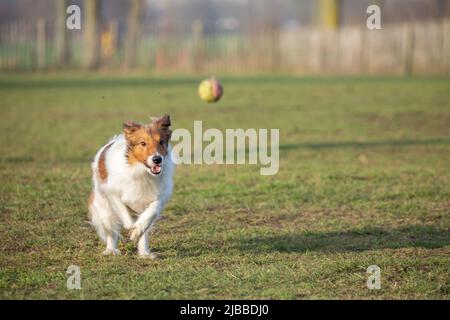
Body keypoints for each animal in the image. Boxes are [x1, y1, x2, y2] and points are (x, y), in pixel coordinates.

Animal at [88, 114, 174, 258]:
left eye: (161, 142)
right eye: (143, 143)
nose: (157, 159)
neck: (142, 172)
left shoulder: (159, 195)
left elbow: (152, 211)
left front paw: (137, 230)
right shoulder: (111, 192)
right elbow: (123, 211)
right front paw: (130, 227)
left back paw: (144, 253)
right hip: (104, 208)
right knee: (111, 231)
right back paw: (111, 250)